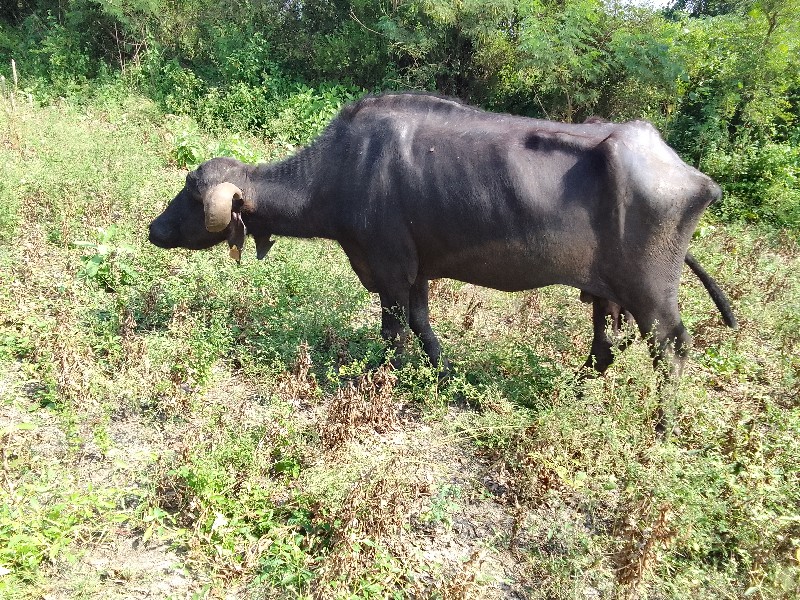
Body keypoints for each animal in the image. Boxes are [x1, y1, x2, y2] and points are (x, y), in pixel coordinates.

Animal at [150, 93, 736, 380]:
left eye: (191, 195)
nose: (154, 229)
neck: (344, 170)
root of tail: (691, 176)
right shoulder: (417, 271)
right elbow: (421, 323)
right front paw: (443, 371)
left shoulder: (388, 269)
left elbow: (393, 330)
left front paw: (386, 375)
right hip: (607, 293)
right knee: (605, 344)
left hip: (652, 295)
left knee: (673, 346)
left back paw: (663, 421)